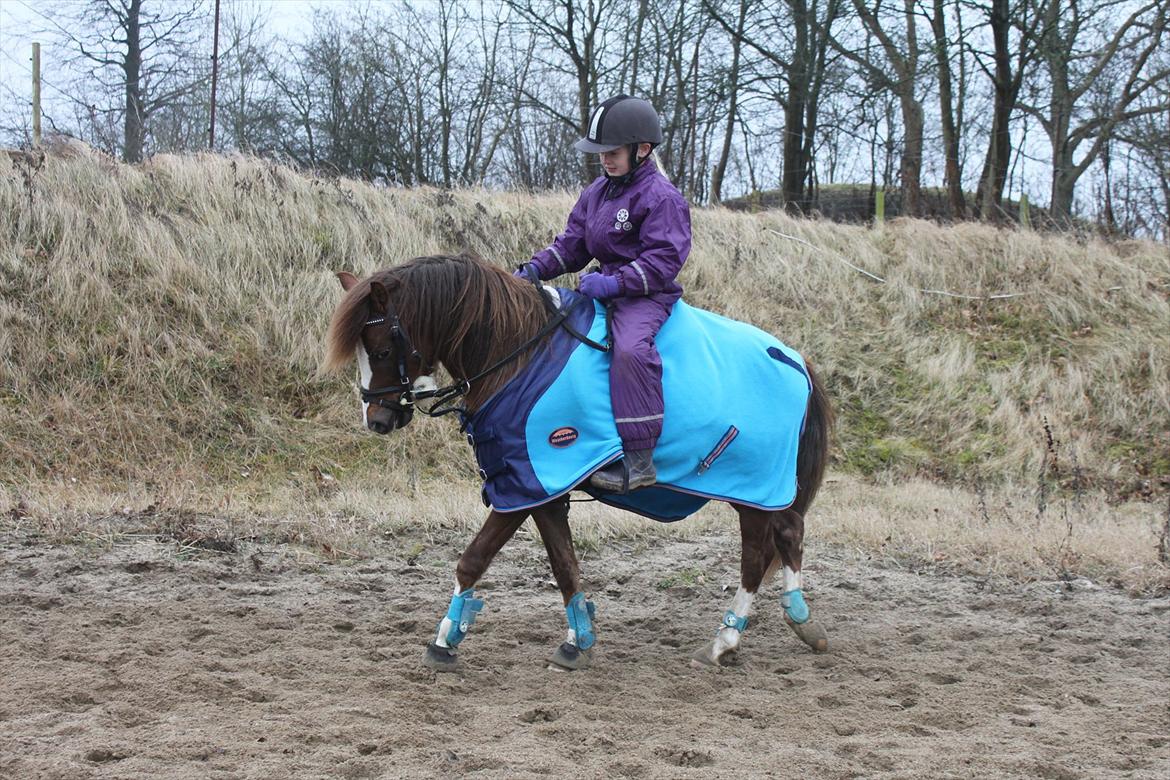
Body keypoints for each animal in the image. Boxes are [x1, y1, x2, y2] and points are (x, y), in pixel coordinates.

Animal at [324, 253, 832, 671]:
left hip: (754, 487)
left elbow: (473, 560)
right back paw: (798, 618)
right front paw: (577, 641)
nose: (377, 420)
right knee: (787, 534)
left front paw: (444, 641)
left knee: (756, 557)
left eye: (383, 350)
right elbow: (565, 566)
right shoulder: (543, 491)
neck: (521, 353)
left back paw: (725, 641)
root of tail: (795, 360)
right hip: (764, 490)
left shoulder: (523, 486)